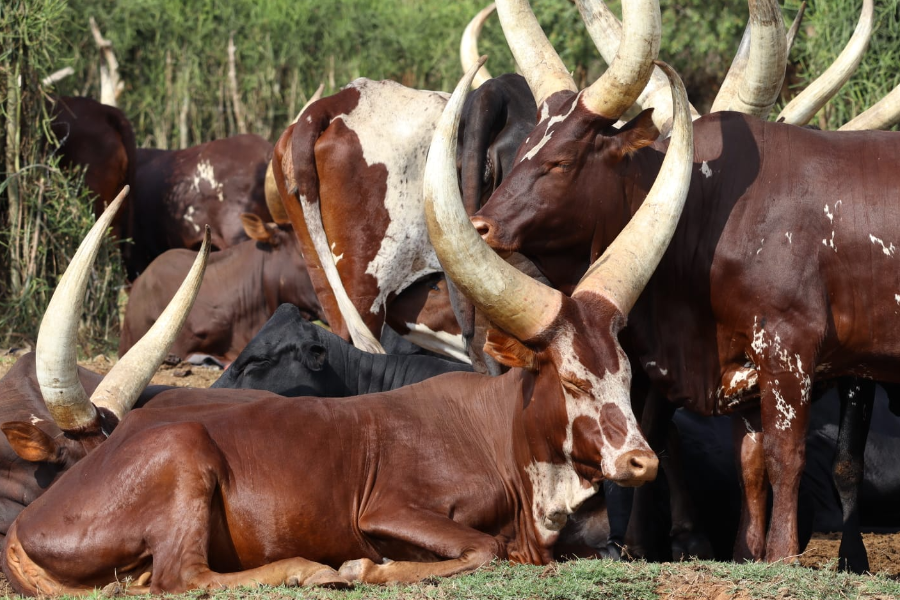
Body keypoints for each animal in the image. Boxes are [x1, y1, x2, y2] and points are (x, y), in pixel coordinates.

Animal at [468, 0, 900, 568]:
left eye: (560, 161)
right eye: (519, 153)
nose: (480, 226)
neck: (710, 207)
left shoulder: (791, 349)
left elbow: (790, 454)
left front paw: (784, 555)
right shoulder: (732, 364)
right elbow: (746, 462)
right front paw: (744, 554)